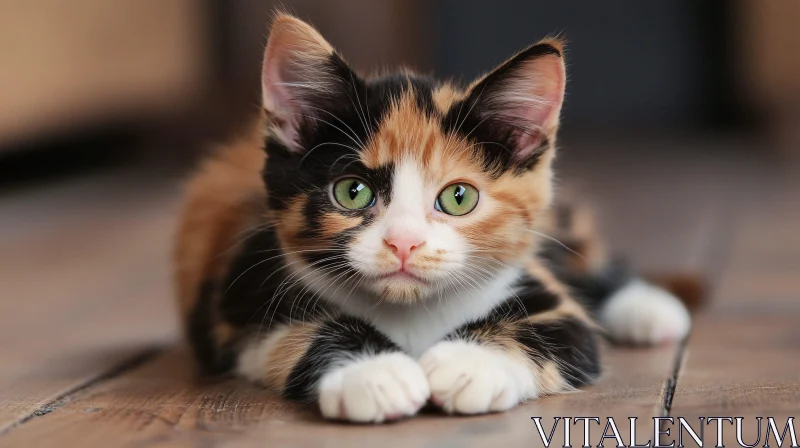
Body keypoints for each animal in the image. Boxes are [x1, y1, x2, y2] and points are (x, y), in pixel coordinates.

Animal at [175, 12, 688, 422]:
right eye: (352, 192)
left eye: (459, 197)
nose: (404, 242)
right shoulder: (238, 298)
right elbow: (295, 331)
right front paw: (375, 373)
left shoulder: (559, 312)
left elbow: (558, 331)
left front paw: (469, 366)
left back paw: (648, 307)